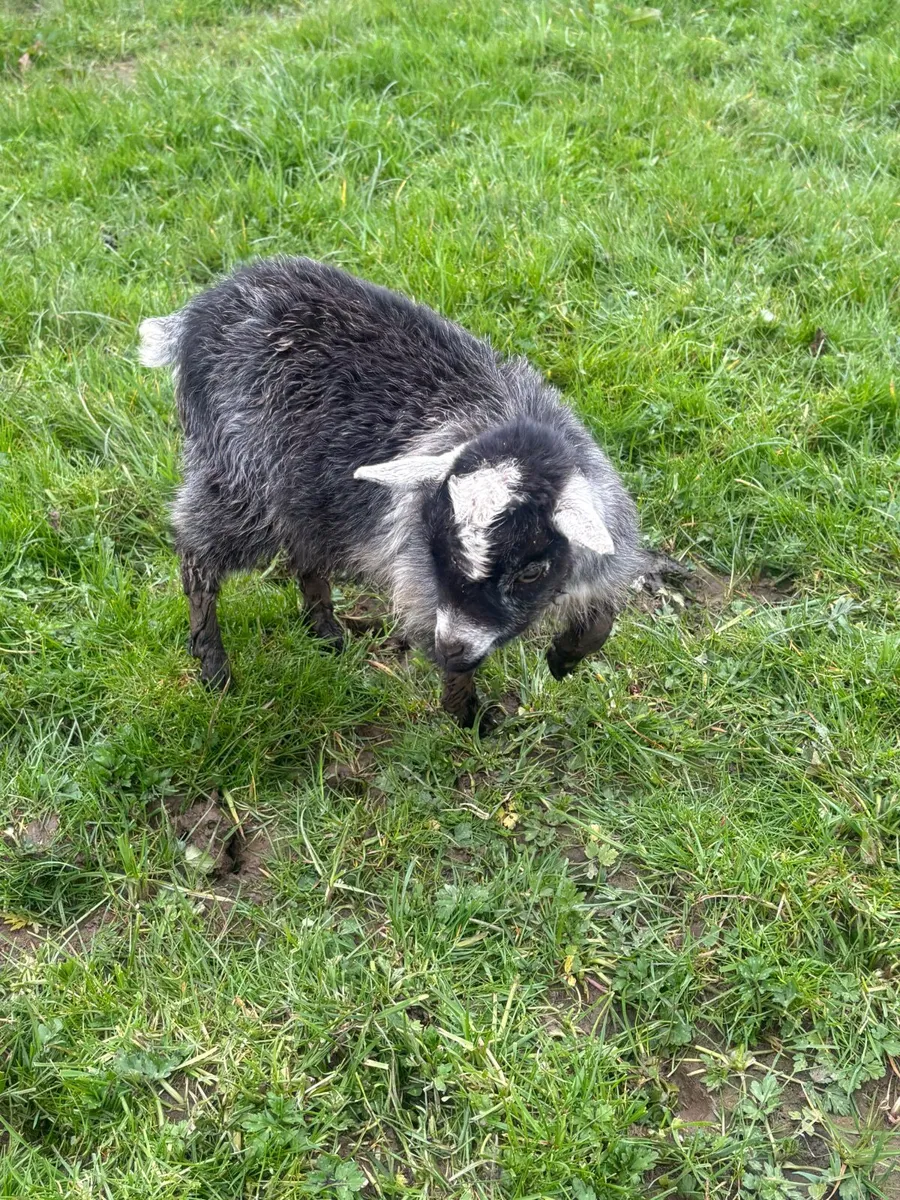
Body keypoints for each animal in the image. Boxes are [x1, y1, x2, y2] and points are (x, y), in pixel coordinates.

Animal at [140, 256, 651, 728]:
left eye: (530, 571)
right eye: (436, 548)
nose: (452, 648)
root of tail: (201, 310)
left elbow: (602, 615)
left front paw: (567, 656)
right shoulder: (417, 571)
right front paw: (465, 712)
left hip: (305, 487)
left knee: (305, 546)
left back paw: (325, 630)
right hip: (239, 471)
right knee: (200, 549)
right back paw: (212, 661)